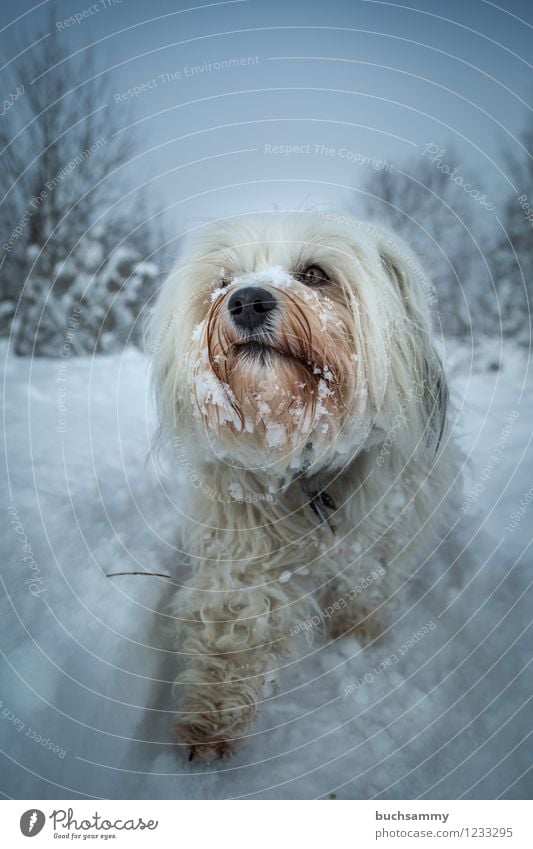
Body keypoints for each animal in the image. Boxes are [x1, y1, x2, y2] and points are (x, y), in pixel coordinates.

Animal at [147, 209, 458, 760]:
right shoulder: (240, 542)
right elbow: (235, 619)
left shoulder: (383, 523)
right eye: (223, 281)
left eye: (315, 273)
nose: (247, 301)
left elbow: (367, 578)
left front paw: (358, 632)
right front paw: (212, 716)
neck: (299, 452)